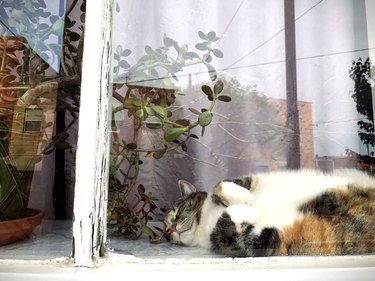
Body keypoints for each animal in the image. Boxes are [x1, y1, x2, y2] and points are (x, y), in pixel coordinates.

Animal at [164, 168, 375, 256]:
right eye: (165, 231)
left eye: (177, 211)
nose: (172, 228)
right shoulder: (248, 241)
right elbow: (228, 219)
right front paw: (250, 210)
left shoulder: (250, 180)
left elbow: (221, 184)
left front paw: (245, 197)